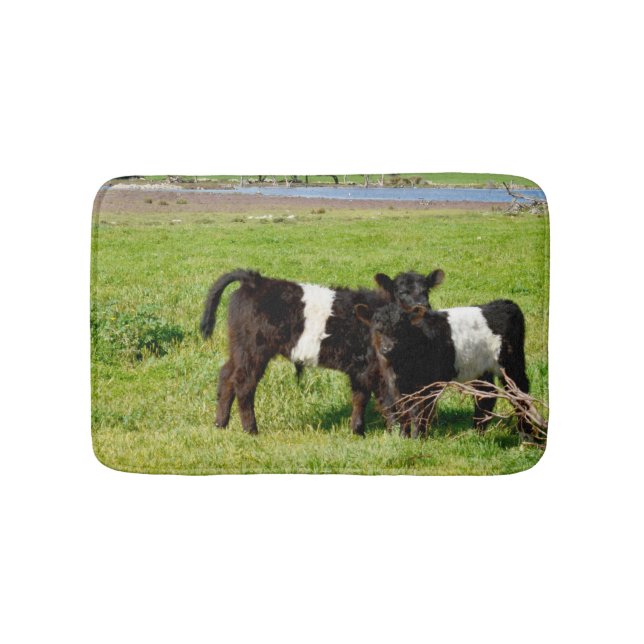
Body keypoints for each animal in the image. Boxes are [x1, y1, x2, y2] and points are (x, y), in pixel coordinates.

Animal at [200, 268, 445, 435]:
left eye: (426, 291)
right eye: (402, 291)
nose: (423, 307)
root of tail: (254, 280)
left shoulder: (360, 368)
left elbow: (360, 398)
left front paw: (357, 431)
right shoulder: (378, 367)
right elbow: (388, 401)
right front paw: (395, 434)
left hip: (239, 348)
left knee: (226, 376)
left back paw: (220, 423)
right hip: (254, 350)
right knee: (244, 384)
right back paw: (251, 429)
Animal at [355, 300, 530, 438]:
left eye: (400, 328)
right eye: (377, 329)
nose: (388, 348)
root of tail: (505, 303)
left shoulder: (429, 384)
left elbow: (420, 411)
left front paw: (418, 438)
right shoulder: (397, 385)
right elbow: (404, 410)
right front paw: (404, 437)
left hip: (511, 365)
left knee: (520, 394)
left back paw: (526, 435)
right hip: (481, 370)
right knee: (486, 396)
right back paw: (477, 433)